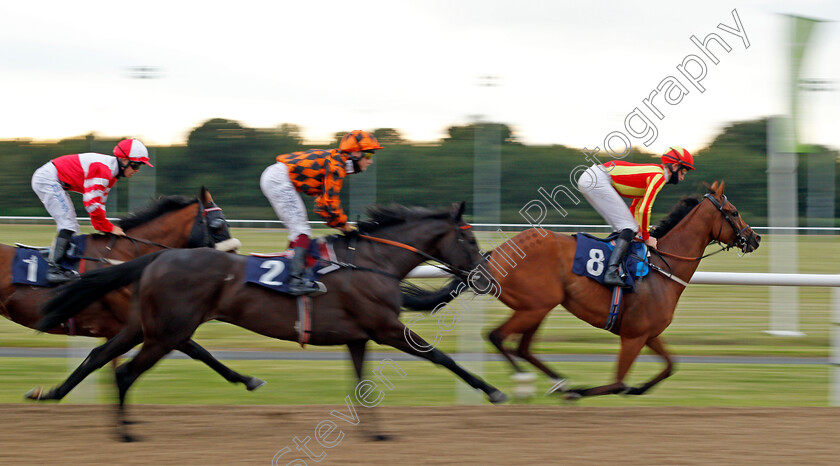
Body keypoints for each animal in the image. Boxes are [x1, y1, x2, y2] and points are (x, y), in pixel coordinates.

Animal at [0, 187, 262, 400]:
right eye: (218, 225)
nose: (234, 267)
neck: (124, 257)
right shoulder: (152, 327)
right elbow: (199, 351)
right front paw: (247, 379)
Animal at [37, 201, 506, 440]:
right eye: (468, 238)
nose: (486, 276)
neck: (374, 264)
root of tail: (158, 256)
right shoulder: (386, 328)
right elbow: (442, 357)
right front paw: (494, 391)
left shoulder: (358, 337)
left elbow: (362, 382)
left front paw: (374, 434)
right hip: (168, 332)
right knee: (125, 372)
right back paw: (125, 434)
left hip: (145, 325)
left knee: (100, 356)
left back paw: (54, 394)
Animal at [402, 180, 760, 398]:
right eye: (733, 212)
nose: (754, 238)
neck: (663, 268)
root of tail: (492, 257)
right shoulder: (633, 337)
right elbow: (617, 382)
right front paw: (585, 392)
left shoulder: (648, 333)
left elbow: (671, 366)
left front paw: (638, 389)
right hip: (536, 305)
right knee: (498, 337)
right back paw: (527, 384)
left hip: (541, 306)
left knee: (522, 347)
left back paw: (557, 382)